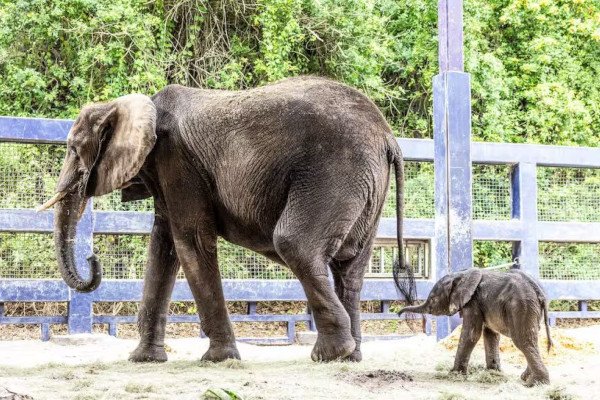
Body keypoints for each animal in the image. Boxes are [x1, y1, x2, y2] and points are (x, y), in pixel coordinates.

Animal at [38, 76, 408, 362]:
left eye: (73, 150)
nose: (92, 259)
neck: (132, 104)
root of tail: (388, 137)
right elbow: (163, 247)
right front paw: (143, 359)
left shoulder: (177, 161)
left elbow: (190, 241)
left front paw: (218, 359)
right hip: (366, 186)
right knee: (350, 267)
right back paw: (350, 357)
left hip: (335, 171)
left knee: (296, 245)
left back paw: (329, 354)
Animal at [398, 268, 552, 386]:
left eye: (433, 299)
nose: (399, 314)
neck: (461, 274)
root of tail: (539, 291)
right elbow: (490, 335)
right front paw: (492, 373)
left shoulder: (473, 302)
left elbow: (471, 335)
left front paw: (454, 374)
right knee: (532, 340)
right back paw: (525, 378)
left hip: (521, 306)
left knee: (523, 341)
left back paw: (535, 383)